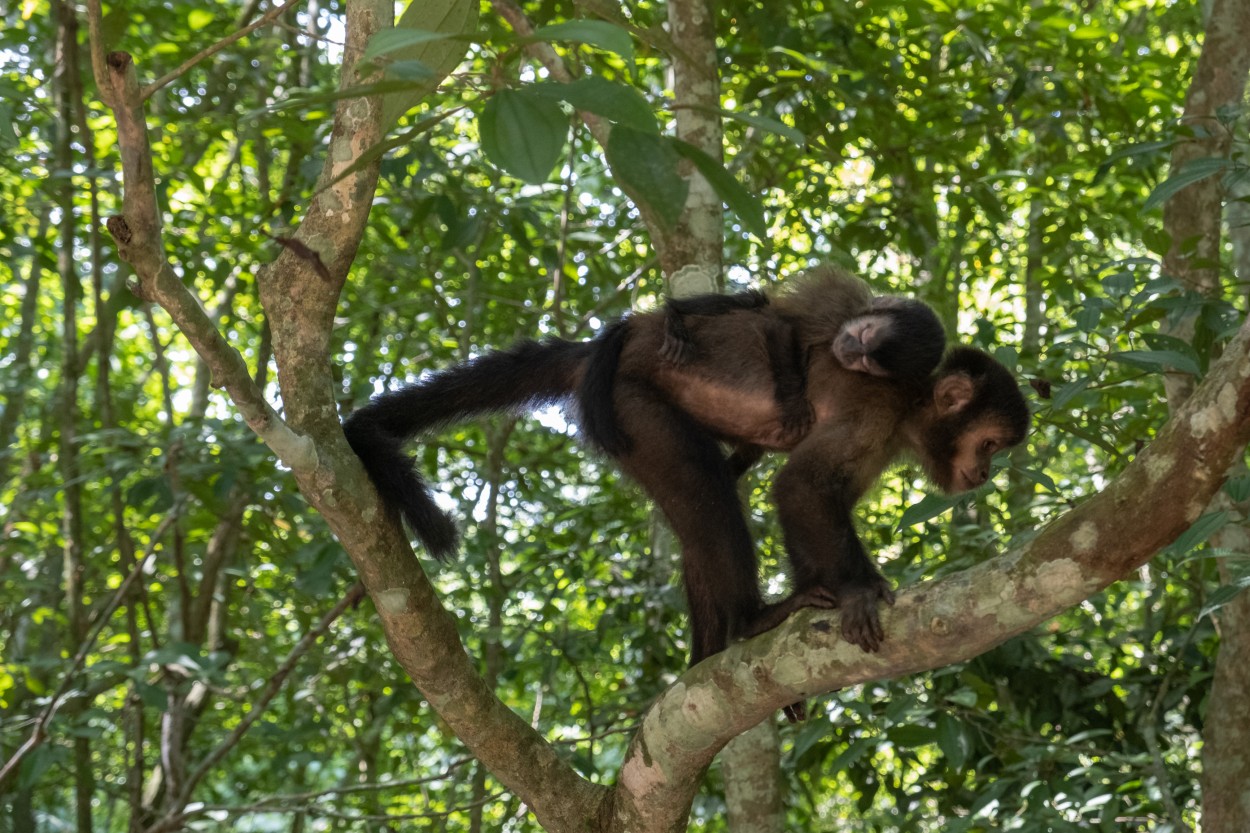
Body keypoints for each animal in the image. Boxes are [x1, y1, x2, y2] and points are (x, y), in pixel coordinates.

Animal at [342, 268, 1025, 670]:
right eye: (991, 445)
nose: (987, 475)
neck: (908, 400)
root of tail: (604, 353)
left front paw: (826, 585)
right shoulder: (871, 413)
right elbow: (800, 487)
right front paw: (857, 589)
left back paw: (709, 651)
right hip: (628, 408)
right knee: (709, 496)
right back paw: (751, 620)